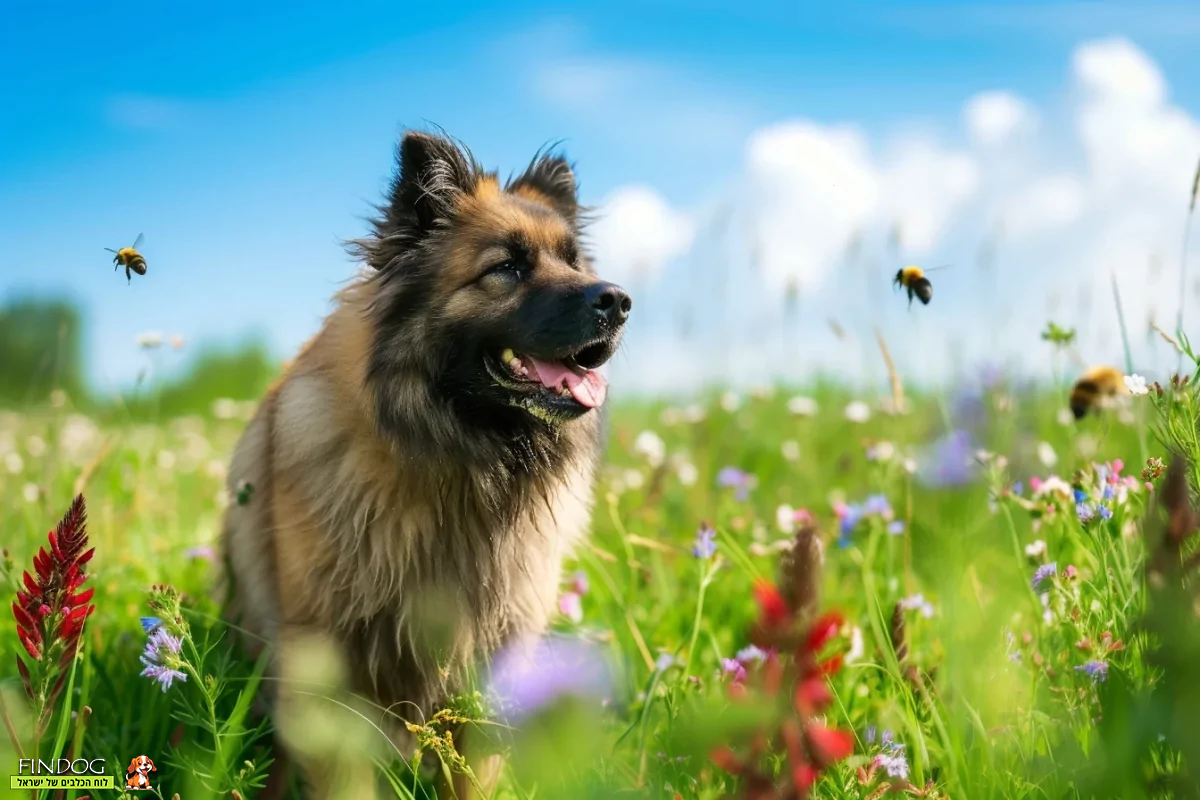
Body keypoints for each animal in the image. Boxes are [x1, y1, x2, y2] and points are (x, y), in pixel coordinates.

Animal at [219, 128, 628, 796]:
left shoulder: (492, 657)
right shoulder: (327, 660)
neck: (461, 465)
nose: (618, 301)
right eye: (506, 268)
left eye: (573, 264)